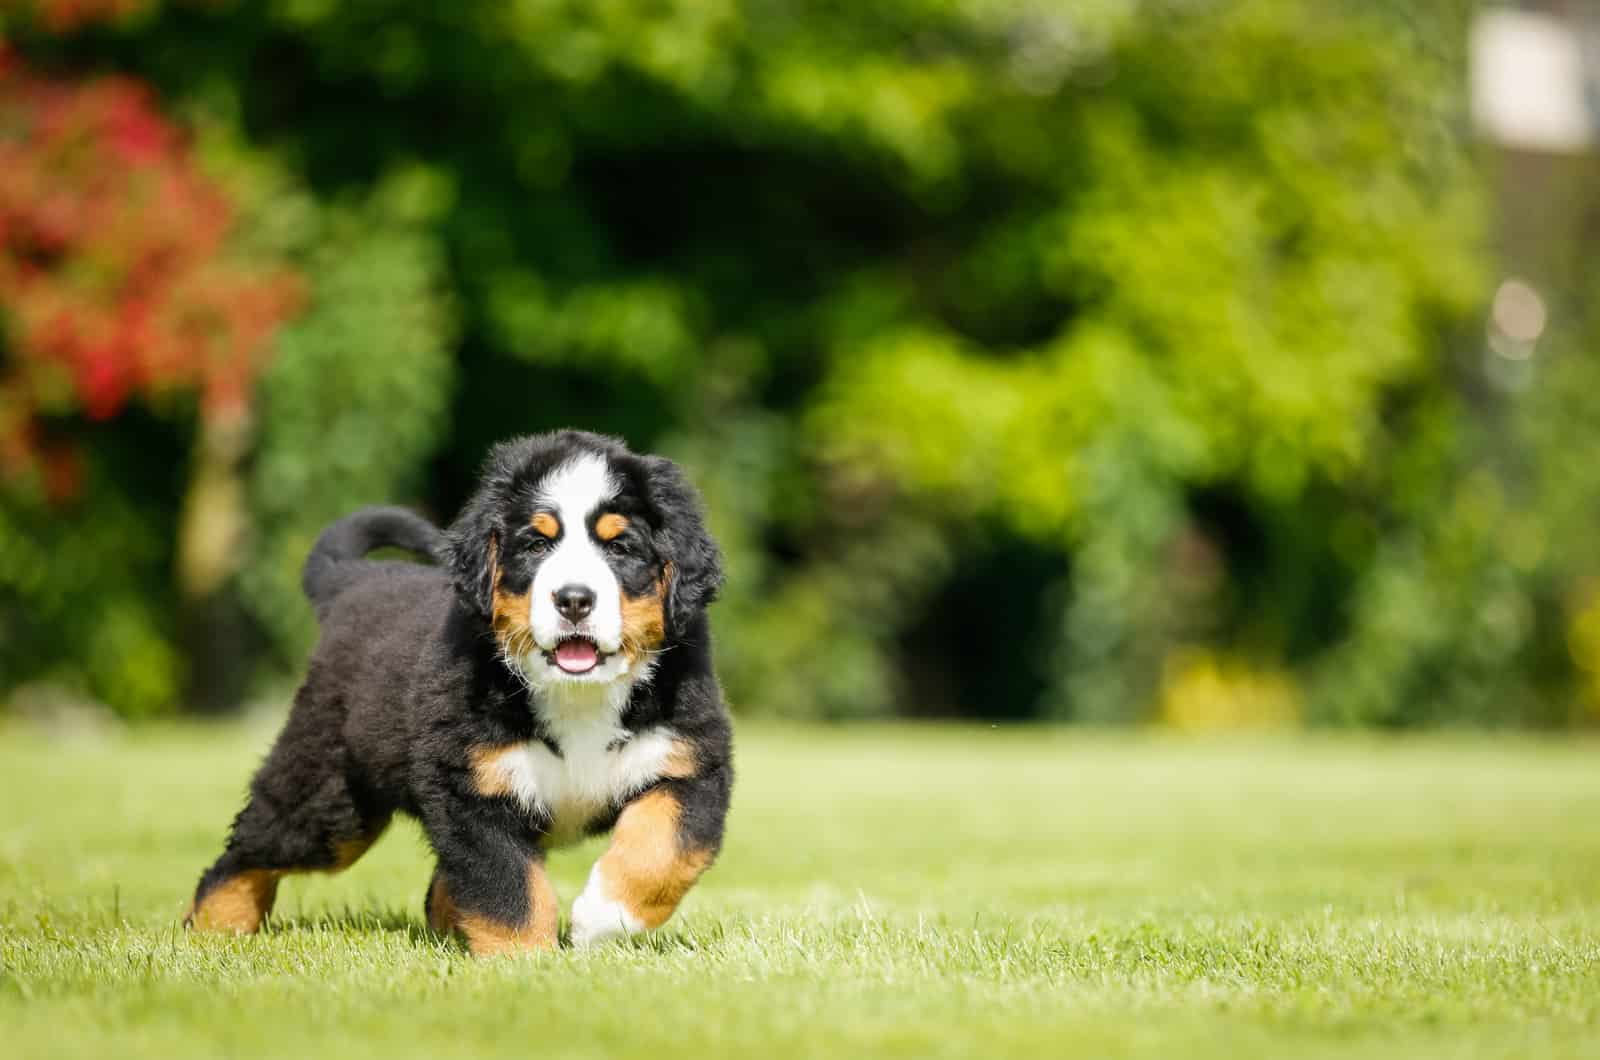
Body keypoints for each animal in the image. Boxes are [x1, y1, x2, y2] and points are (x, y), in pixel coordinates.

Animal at [185, 432, 732, 954]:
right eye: (536, 546)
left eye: (620, 548)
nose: (574, 599)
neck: (577, 696)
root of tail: (353, 581)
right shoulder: (471, 785)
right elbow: (507, 886)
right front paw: (525, 963)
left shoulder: (689, 764)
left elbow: (663, 853)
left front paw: (601, 922)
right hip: (330, 801)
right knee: (248, 851)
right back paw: (214, 930)